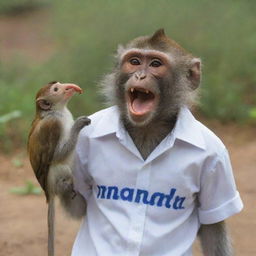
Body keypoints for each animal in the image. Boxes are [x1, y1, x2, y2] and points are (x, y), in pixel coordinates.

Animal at [27, 81, 90, 256]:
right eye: (56, 89)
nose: (71, 87)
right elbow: (56, 156)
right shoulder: (53, 125)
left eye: (59, 84)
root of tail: (48, 192)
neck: (55, 111)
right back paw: (66, 186)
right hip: (51, 177)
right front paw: (78, 125)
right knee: (61, 168)